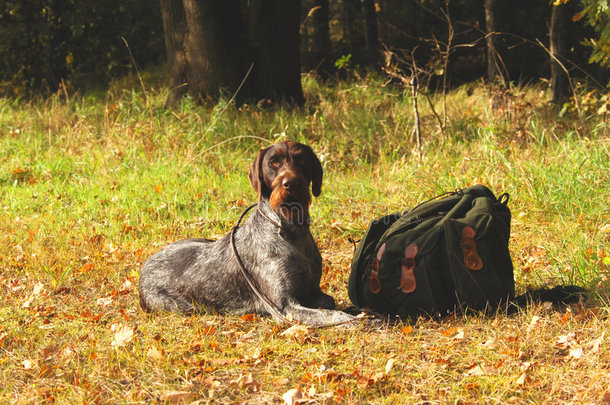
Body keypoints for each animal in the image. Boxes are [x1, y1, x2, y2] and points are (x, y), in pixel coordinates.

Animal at [137, 141, 356, 326]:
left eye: (301, 159)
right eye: (273, 162)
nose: (290, 183)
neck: (292, 230)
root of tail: (144, 268)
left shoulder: (313, 292)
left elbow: (329, 302)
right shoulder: (284, 307)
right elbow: (334, 315)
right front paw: (356, 320)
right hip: (179, 306)